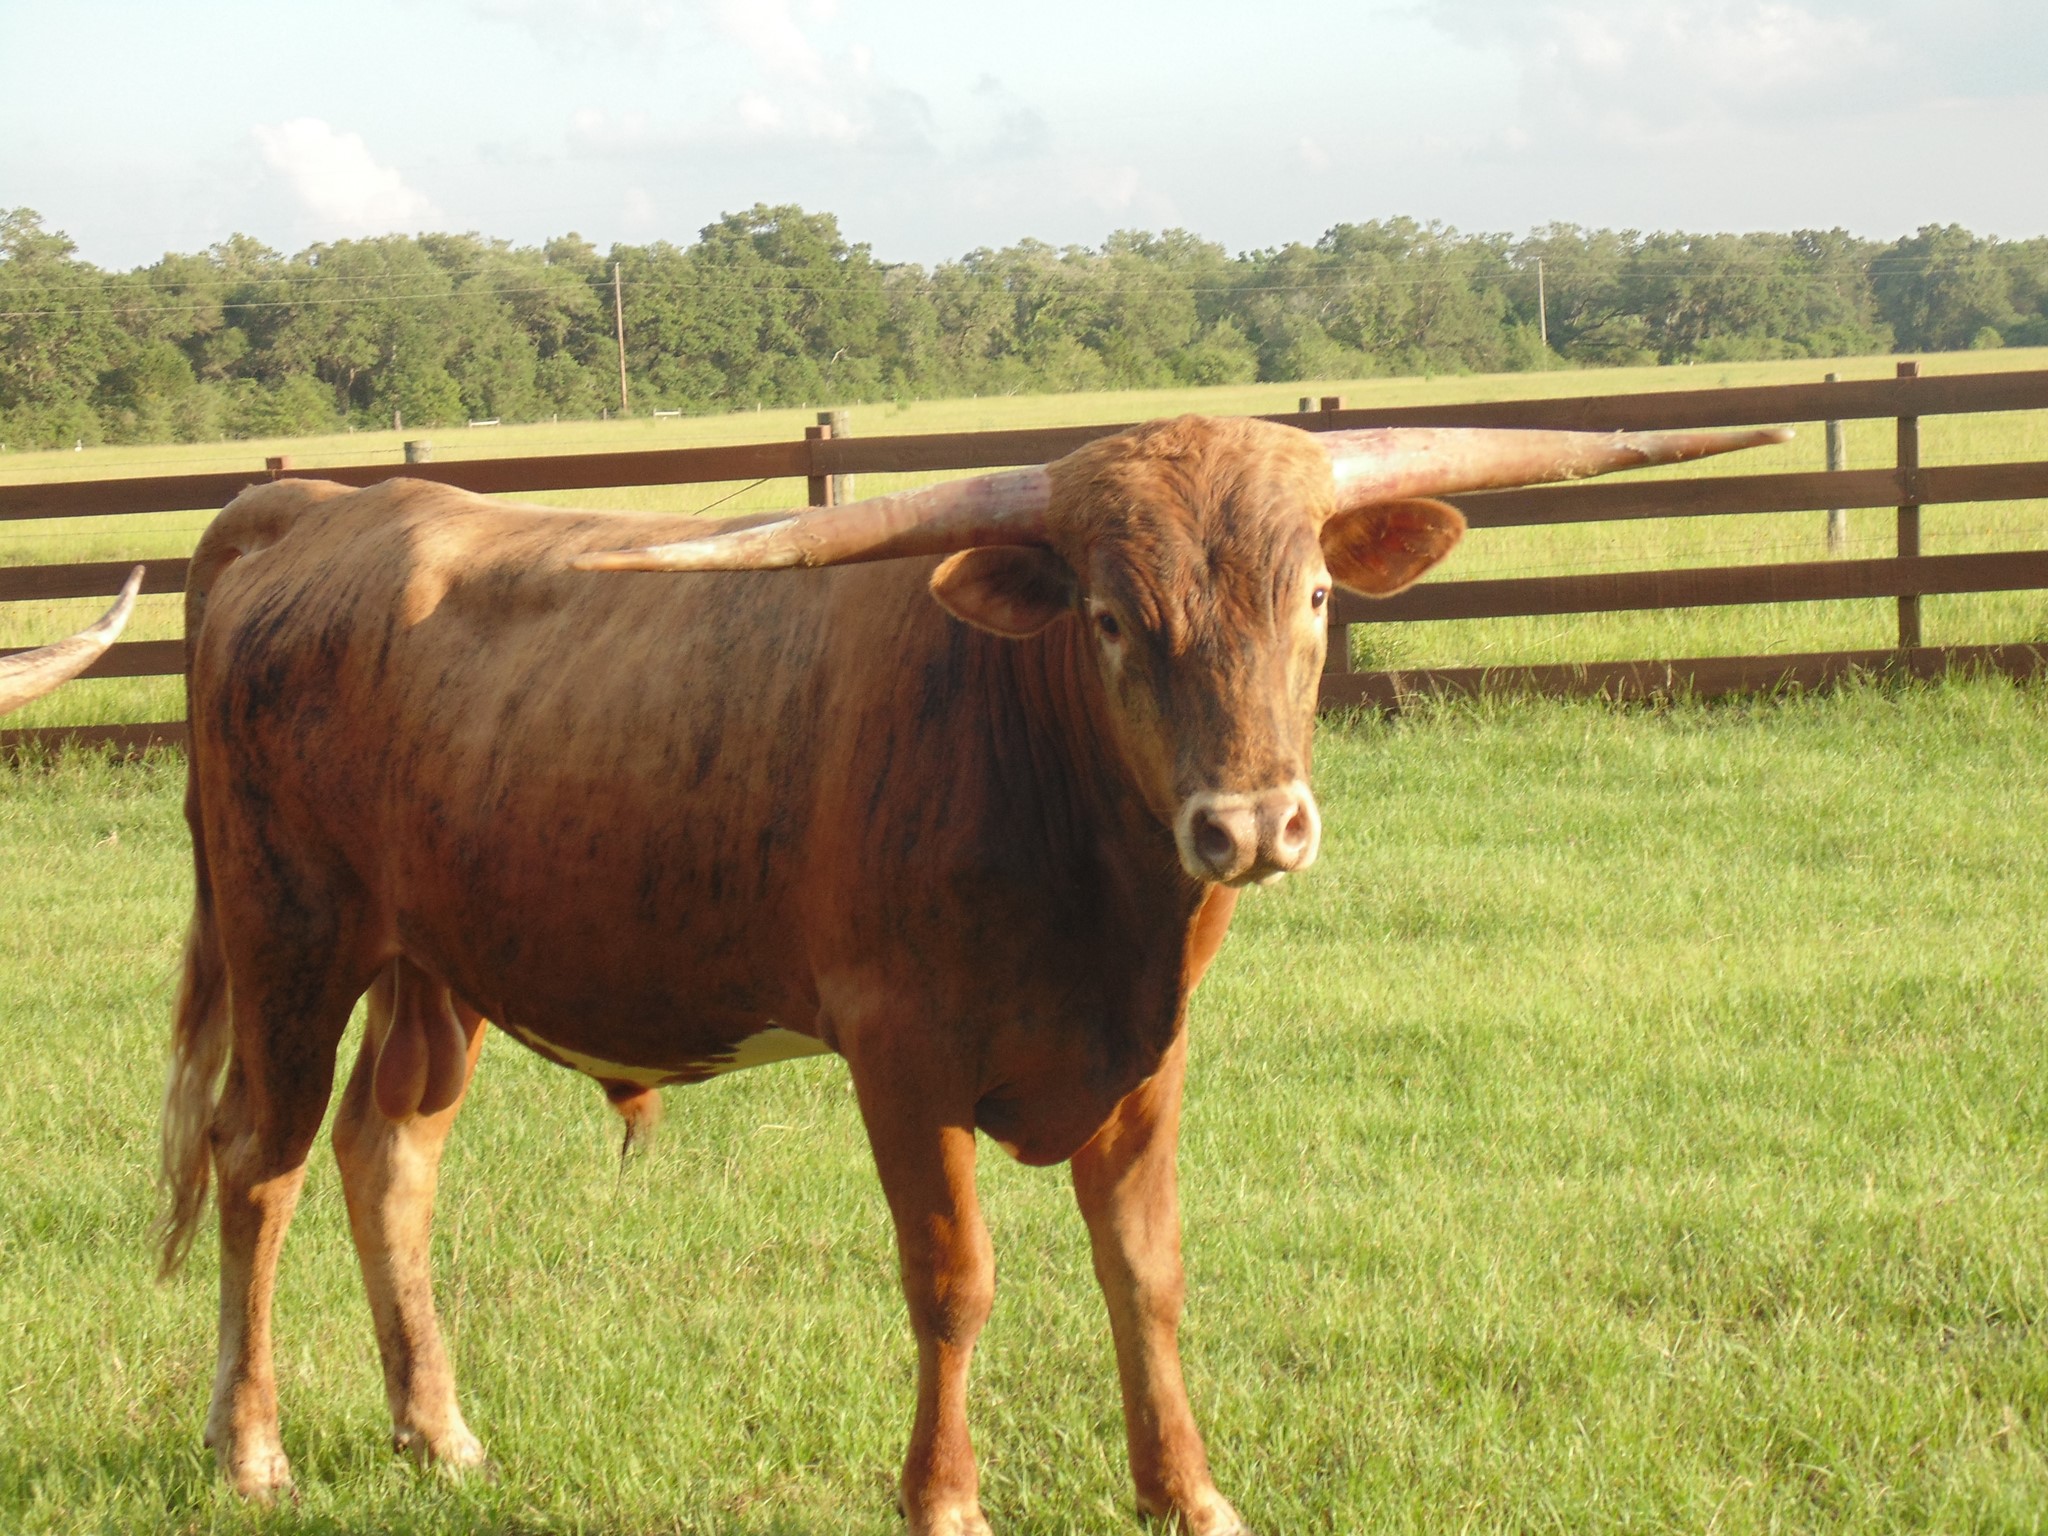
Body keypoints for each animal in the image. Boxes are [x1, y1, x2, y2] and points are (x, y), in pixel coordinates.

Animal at [155, 414, 1784, 1534]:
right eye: (1113, 618)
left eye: (1316, 599)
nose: (1251, 825)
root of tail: (316, 508)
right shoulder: (903, 1057)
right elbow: (953, 1280)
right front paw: (942, 1498)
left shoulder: (1145, 1058)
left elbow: (1148, 1272)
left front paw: (1187, 1492)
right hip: (292, 937)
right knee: (259, 1165)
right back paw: (252, 1449)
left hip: (438, 966)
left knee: (389, 1156)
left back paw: (438, 1434)